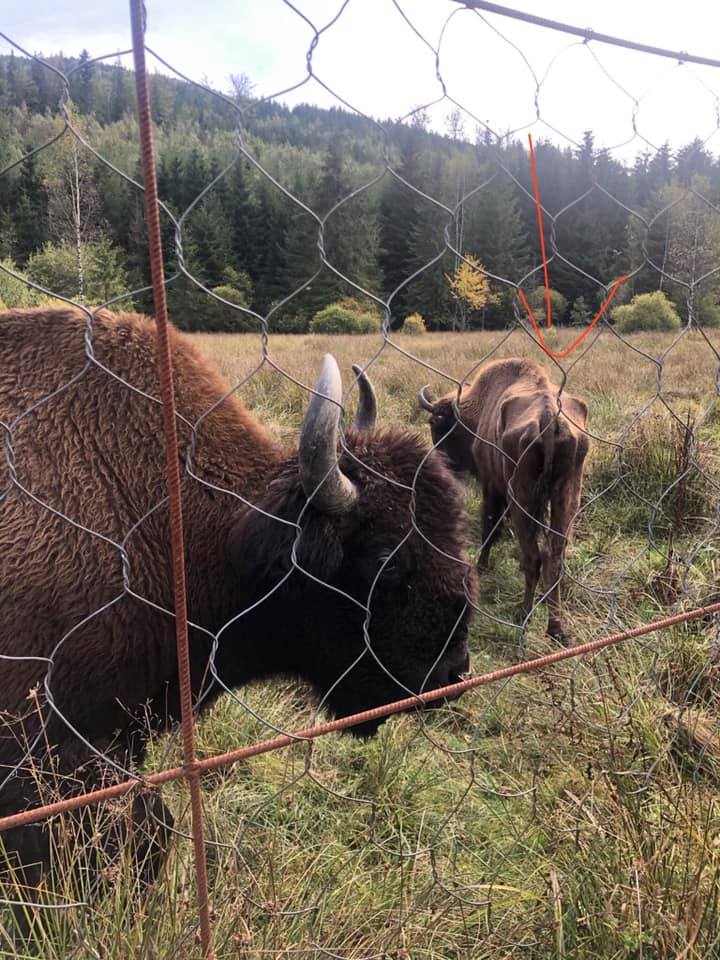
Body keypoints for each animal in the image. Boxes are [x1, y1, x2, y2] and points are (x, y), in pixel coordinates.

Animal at [420, 358, 588, 644]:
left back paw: (524, 615)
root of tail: (548, 419)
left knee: (534, 556)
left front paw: (481, 565)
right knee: (553, 556)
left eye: (435, 423)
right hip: (567, 495)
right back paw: (556, 628)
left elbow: (489, 525)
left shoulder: (491, 486)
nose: (439, 464)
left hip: (520, 494)